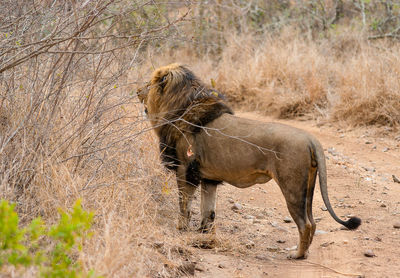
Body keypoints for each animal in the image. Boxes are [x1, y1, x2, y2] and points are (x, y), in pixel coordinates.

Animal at [137, 63, 360, 258]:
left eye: (150, 83)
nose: (138, 90)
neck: (179, 107)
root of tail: (311, 139)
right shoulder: (208, 178)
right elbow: (208, 212)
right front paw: (205, 239)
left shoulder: (185, 169)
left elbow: (184, 205)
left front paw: (181, 229)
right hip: (308, 187)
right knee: (312, 222)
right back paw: (302, 253)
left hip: (292, 187)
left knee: (305, 224)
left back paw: (296, 255)